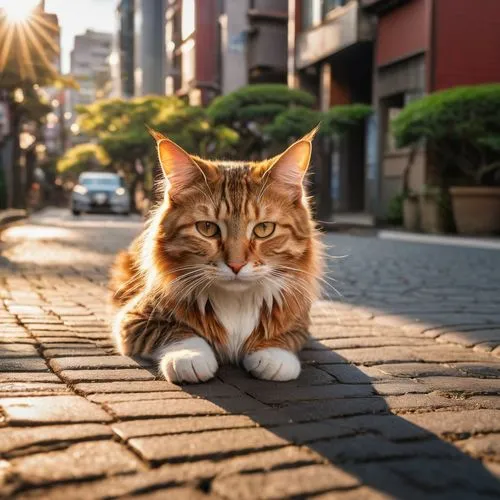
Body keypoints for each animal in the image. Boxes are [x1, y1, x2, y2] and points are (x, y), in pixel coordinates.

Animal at [108, 127, 320, 384]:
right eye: (207, 228)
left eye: (264, 229)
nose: (236, 265)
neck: (237, 301)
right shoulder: (134, 318)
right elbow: (178, 332)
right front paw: (190, 356)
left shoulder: (299, 320)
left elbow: (287, 337)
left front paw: (273, 355)